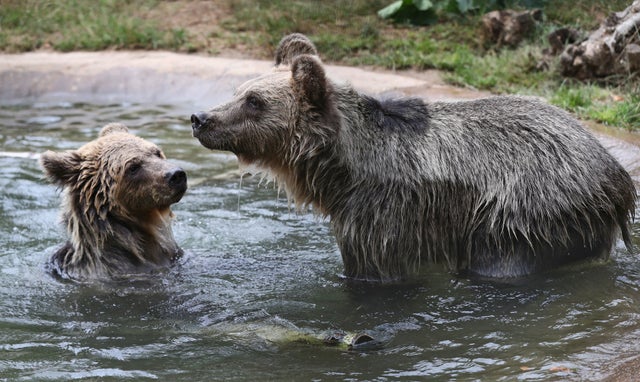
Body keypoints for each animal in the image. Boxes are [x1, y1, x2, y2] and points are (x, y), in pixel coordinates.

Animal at [189, 32, 636, 282]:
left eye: (254, 101)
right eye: (238, 90)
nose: (200, 118)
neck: (341, 173)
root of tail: (617, 175)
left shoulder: (382, 215)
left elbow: (377, 273)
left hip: (524, 210)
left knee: (501, 263)